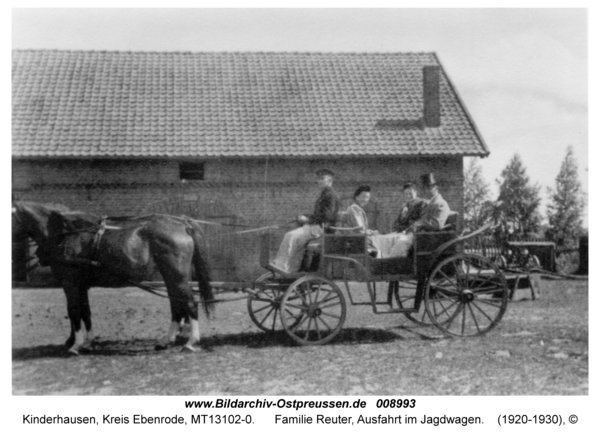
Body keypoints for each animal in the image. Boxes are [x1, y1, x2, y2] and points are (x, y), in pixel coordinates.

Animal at [11, 203, 214, 356]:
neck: (64, 235)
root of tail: (182, 224)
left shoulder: (71, 284)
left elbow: (74, 311)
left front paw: (75, 345)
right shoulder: (82, 286)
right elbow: (86, 311)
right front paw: (88, 343)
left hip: (177, 276)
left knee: (190, 304)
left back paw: (190, 342)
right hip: (172, 276)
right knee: (177, 305)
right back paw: (166, 341)